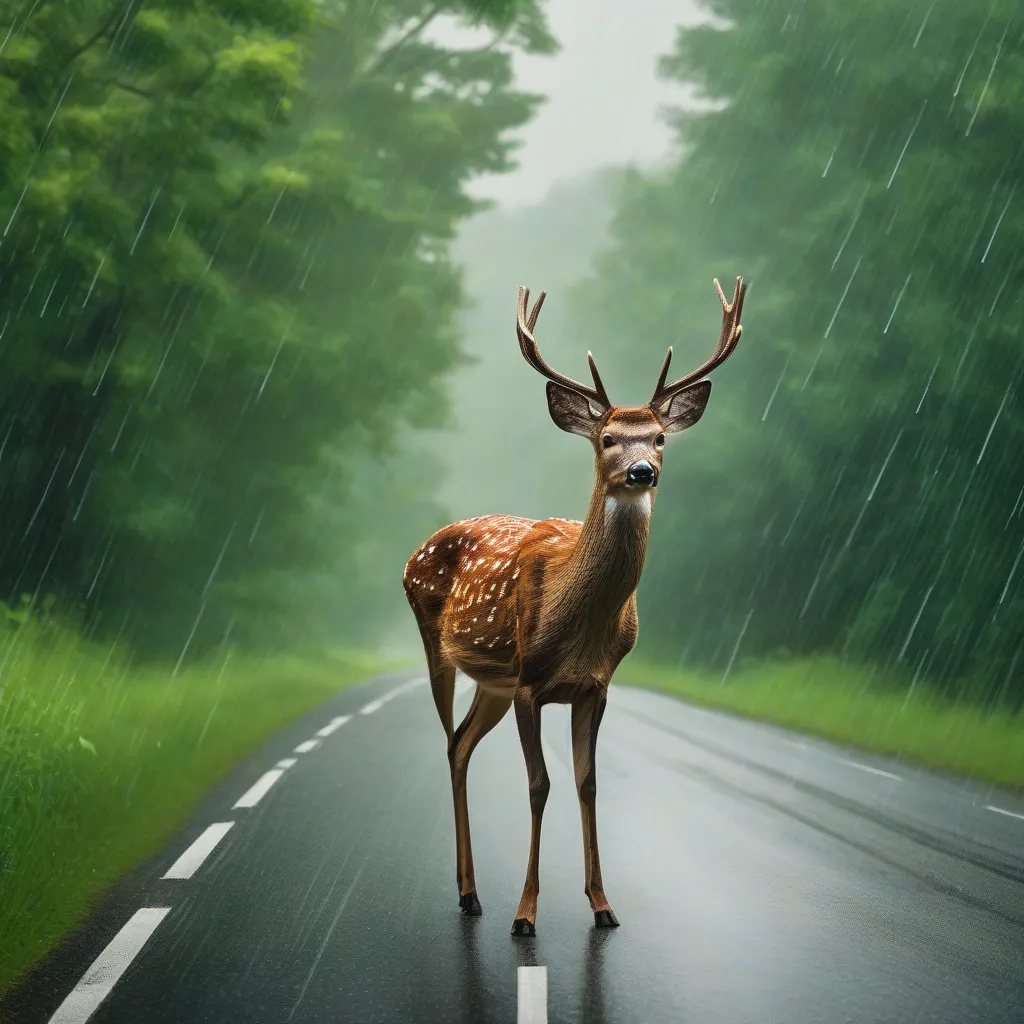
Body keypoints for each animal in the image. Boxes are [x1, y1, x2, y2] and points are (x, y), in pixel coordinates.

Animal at [403, 272, 749, 937]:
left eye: (659, 438)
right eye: (608, 437)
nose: (642, 471)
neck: (577, 626)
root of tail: (413, 553)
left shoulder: (594, 684)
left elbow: (588, 782)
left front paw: (603, 904)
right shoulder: (531, 683)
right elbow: (540, 785)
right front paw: (525, 915)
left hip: (493, 682)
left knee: (460, 744)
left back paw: (470, 891)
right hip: (442, 648)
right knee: (448, 742)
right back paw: (471, 894)